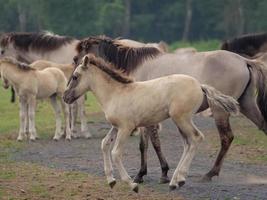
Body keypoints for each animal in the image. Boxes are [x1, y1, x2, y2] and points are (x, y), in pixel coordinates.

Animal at [63, 54, 240, 192]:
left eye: (75, 76)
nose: (65, 97)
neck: (116, 93)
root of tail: (200, 86)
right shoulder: (116, 127)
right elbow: (104, 144)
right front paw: (111, 181)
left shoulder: (126, 128)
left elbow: (116, 152)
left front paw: (132, 184)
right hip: (180, 121)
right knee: (188, 144)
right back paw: (175, 181)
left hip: (181, 118)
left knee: (196, 138)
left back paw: (180, 179)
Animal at [73, 35, 267, 183]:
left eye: (78, 57)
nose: (70, 87)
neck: (136, 65)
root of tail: (244, 60)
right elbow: (146, 144)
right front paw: (149, 173)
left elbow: (151, 144)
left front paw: (154, 174)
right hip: (245, 104)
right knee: (263, 125)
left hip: (220, 111)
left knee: (226, 138)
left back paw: (210, 174)